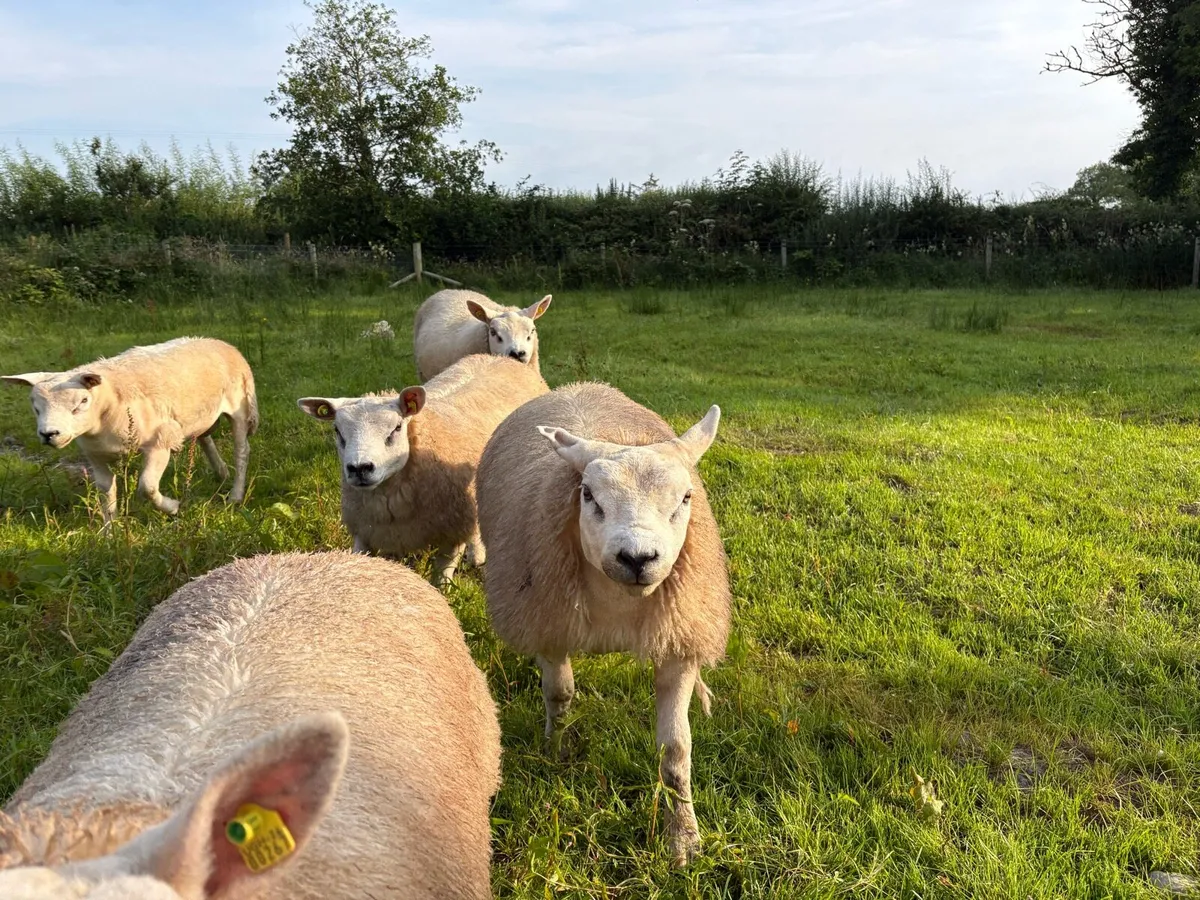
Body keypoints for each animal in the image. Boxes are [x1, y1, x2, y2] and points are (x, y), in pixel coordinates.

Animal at [1, 337, 257, 522]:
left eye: (82, 402)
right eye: (35, 406)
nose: (49, 434)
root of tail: (218, 342)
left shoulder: (159, 443)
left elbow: (147, 487)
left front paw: (173, 508)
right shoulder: (96, 456)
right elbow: (106, 492)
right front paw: (109, 533)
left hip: (240, 409)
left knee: (242, 451)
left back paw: (235, 495)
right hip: (197, 415)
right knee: (204, 437)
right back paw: (221, 472)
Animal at [299, 352, 548, 585]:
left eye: (396, 428)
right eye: (337, 431)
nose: (360, 468)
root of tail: (499, 358)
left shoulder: (452, 532)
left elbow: (442, 581)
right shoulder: (365, 532)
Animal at [475, 382, 730, 866]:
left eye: (686, 498)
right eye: (589, 496)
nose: (637, 557)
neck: (621, 601)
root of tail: (582, 387)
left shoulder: (678, 639)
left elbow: (676, 749)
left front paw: (683, 837)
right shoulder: (550, 622)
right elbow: (560, 694)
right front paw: (555, 750)